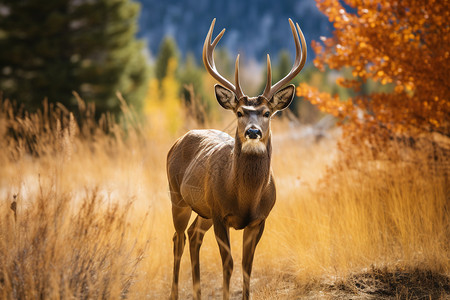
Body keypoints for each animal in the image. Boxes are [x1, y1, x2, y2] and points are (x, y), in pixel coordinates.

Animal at [167, 18, 308, 300]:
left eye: (267, 113)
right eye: (240, 112)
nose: (253, 132)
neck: (246, 197)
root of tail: (178, 141)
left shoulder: (259, 219)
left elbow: (247, 266)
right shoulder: (221, 214)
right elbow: (229, 264)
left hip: (203, 210)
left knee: (193, 236)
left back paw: (197, 294)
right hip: (177, 197)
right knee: (178, 238)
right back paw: (175, 294)